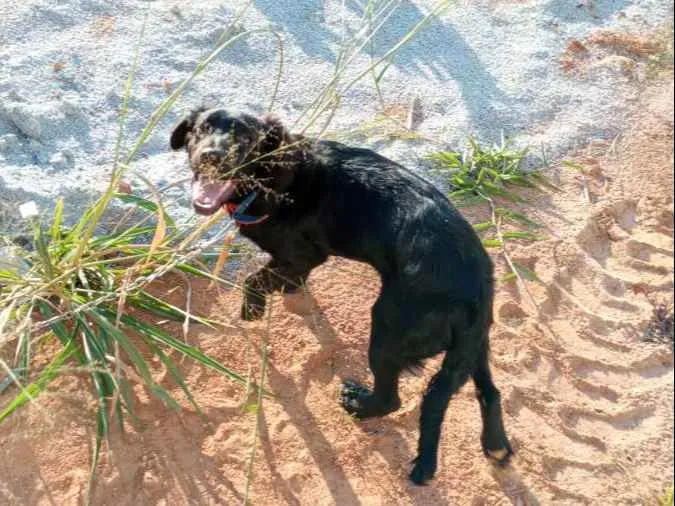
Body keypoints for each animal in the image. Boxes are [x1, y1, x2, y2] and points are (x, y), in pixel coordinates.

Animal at [169, 108, 512, 484]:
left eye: (245, 138)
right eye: (202, 128)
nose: (211, 156)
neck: (277, 174)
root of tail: (475, 290)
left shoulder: (303, 255)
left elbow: (254, 280)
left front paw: (253, 309)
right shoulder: (296, 260)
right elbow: (280, 278)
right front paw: (288, 290)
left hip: (389, 329)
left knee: (392, 399)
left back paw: (360, 405)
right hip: (473, 347)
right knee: (490, 390)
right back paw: (496, 444)